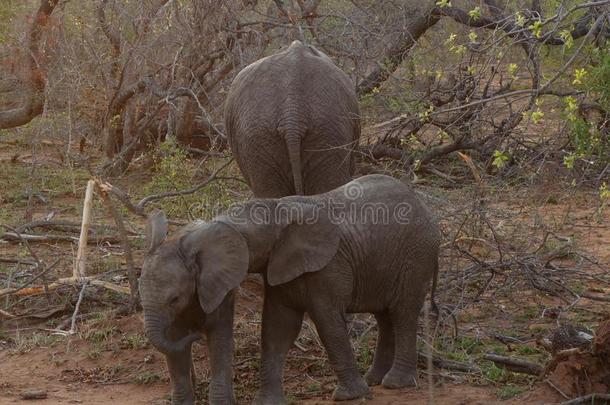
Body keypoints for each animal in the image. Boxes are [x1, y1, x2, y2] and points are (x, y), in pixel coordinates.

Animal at [139, 174, 436, 404]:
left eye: (175, 298)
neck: (278, 210)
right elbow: (277, 327)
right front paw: (266, 402)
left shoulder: (328, 265)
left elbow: (327, 323)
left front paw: (349, 396)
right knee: (385, 316)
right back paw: (375, 380)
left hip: (416, 256)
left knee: (403, 312)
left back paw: (395, 384)